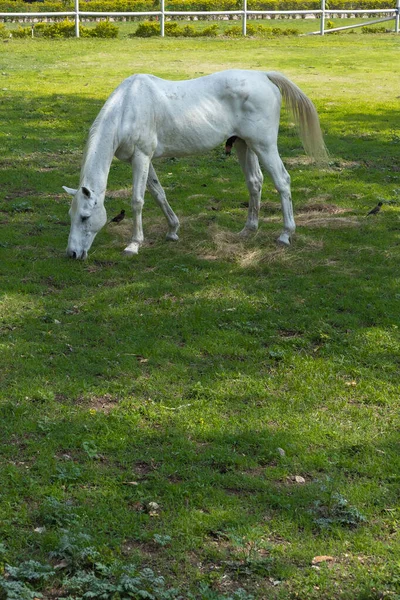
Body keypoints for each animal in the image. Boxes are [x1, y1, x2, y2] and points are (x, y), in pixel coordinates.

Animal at [65, 69, 328, 258]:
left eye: (85, 217)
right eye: (71, 215)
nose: (72, 254)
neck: (128, 107)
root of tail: (263, 75)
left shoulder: (141, 157)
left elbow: (137, 201)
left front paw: (134, 244)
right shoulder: (143, 160)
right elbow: (158, 193)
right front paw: (172, 230)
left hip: (264, 146)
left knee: (282, 181)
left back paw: (285, 235)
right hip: (245, 145)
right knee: (255, 182)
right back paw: (248, 230)